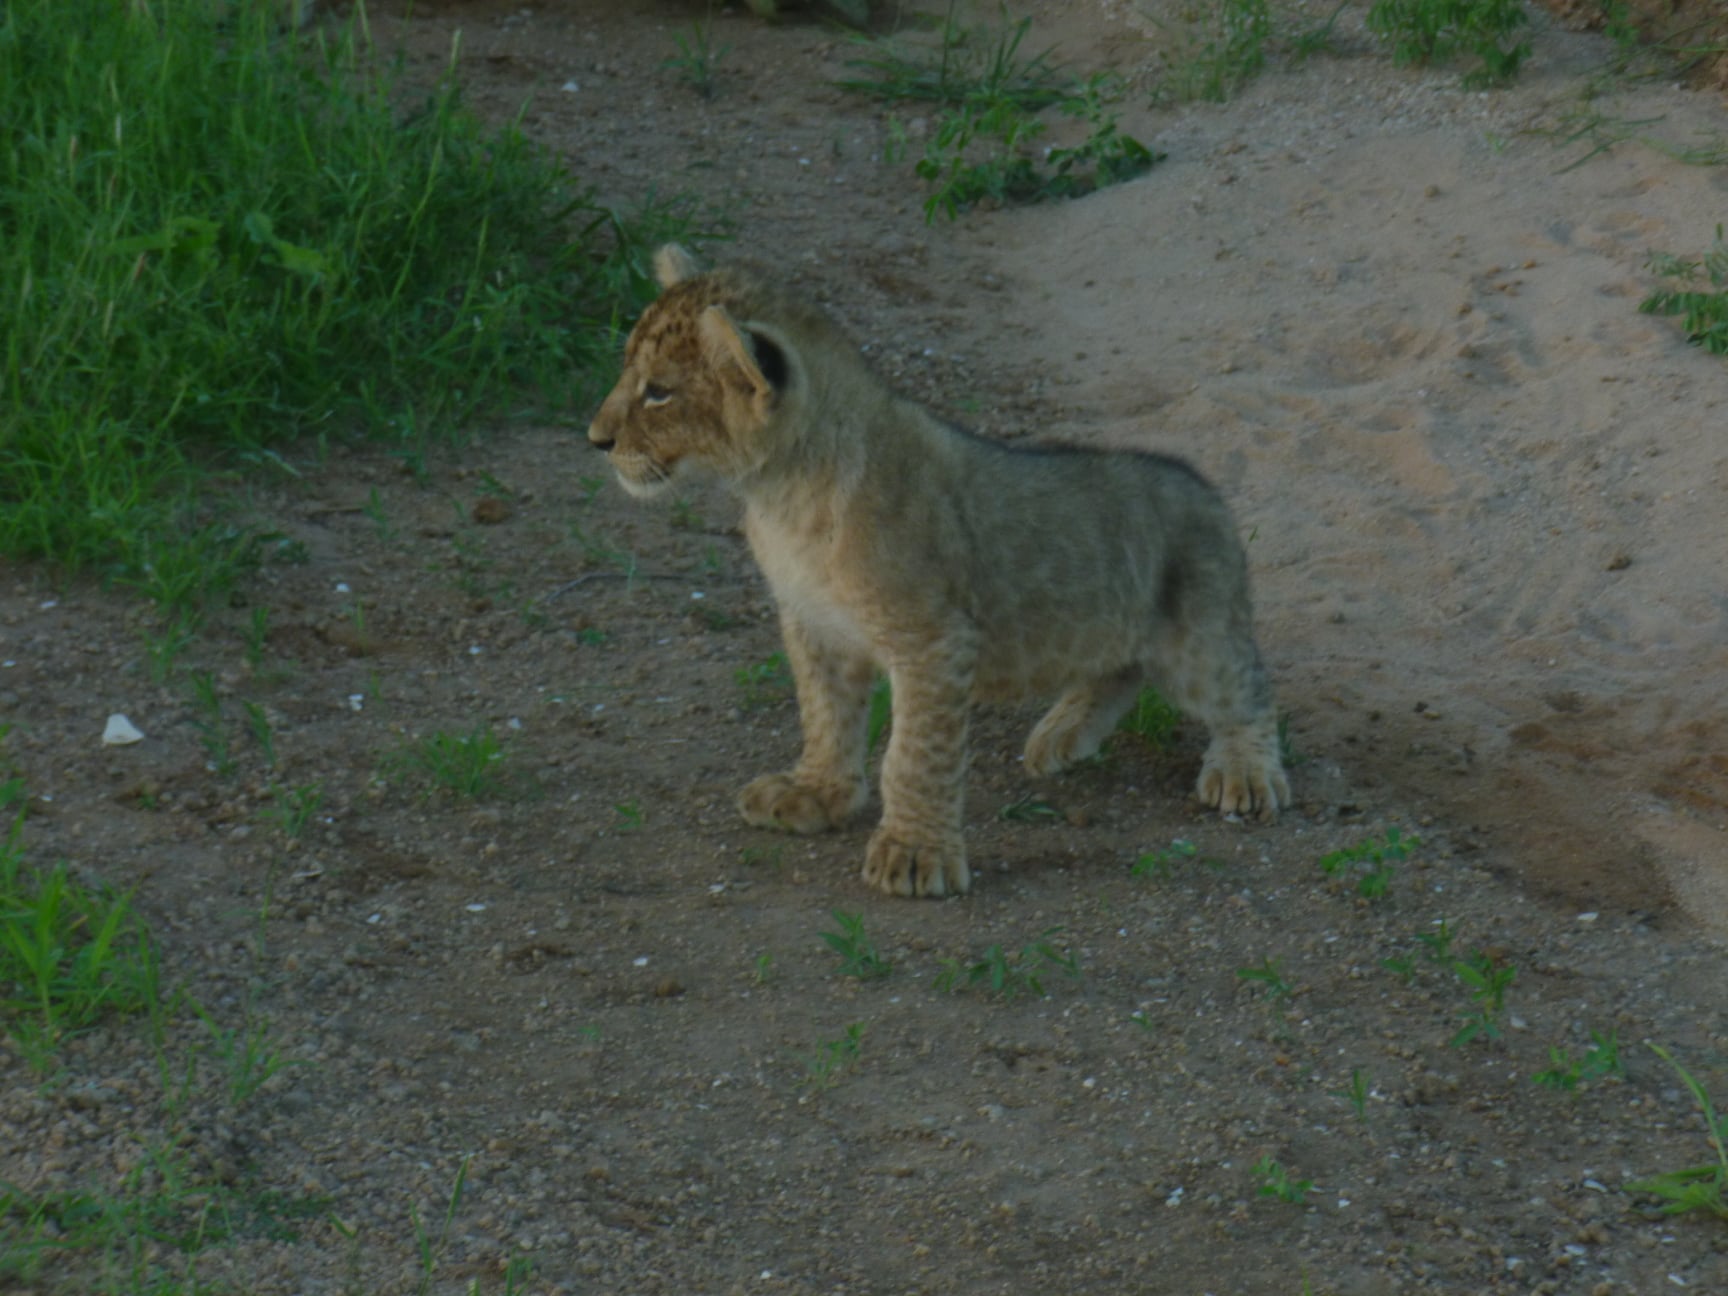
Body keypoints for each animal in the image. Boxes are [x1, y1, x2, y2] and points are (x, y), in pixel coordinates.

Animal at [587, 245, 1289, 897]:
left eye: (658, 391)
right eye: (627, 371)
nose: (595, 438)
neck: (782, 496)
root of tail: (1204, 487)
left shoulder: (931, 638)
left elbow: (913, 754)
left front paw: (913, 854)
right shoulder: (814, 624)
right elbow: (825, 716)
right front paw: (815, 792)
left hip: (1199, 641)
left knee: (1248, 691)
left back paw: (1245, 772)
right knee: (1119, 670)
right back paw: (1059, 737)